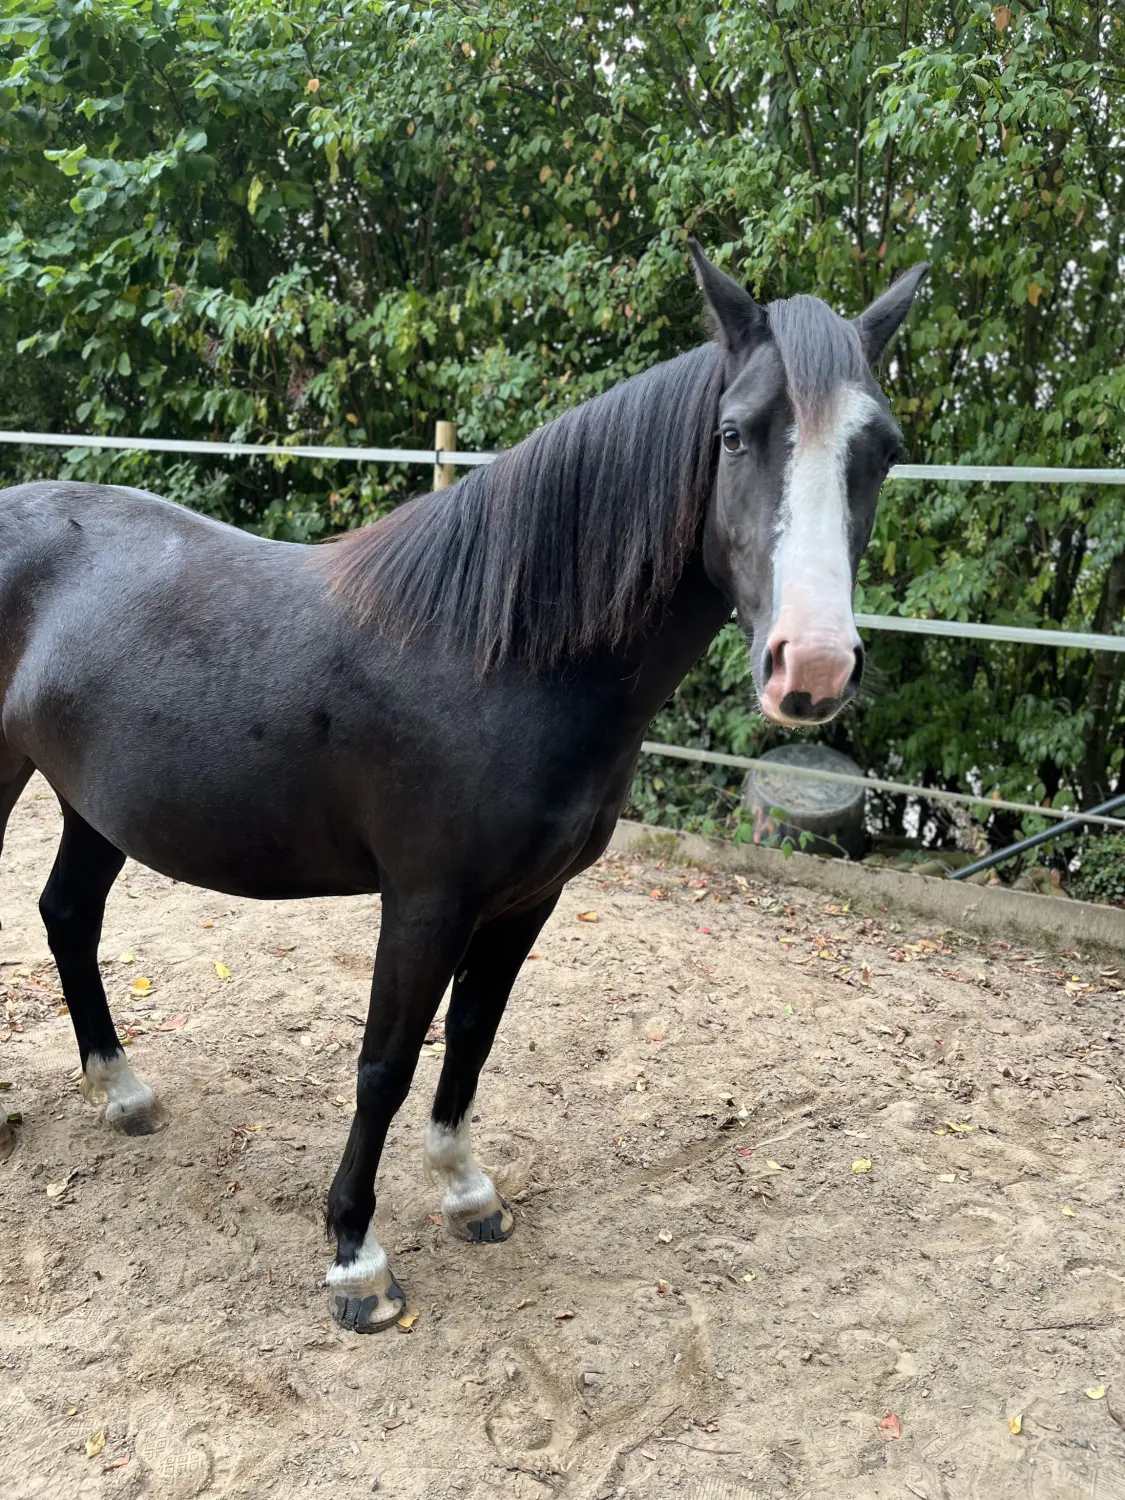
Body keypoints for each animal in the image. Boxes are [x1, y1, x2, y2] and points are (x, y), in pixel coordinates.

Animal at [0, 245, 927, 1332]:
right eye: (736, 433)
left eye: (884, 450)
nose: (811, 667)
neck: (501, 657)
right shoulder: (425, 902)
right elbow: (385, 1063)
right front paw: (355, 1259)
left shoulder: (528, 899)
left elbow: (473, 1038)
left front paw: (466, 1191)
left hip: (93, 804)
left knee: (68, 915)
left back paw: (123, 1092)